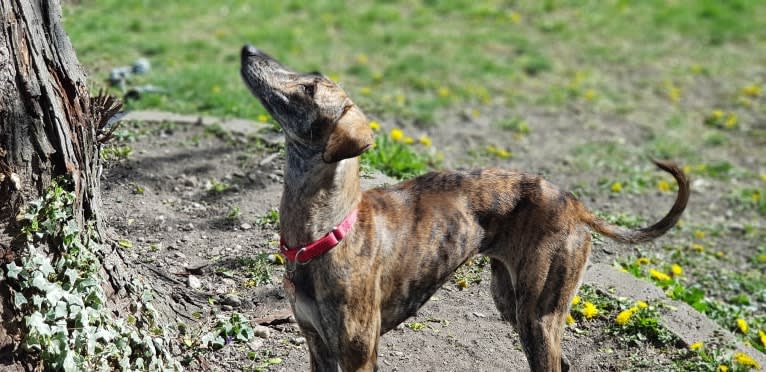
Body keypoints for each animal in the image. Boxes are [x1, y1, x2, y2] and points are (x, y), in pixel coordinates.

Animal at [240, 45, 688, 372]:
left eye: (310, 89)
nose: (249, 49)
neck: (324, 232)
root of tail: (573, 202)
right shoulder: (316, 344)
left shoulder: (359, 354)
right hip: (512, 300)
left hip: (539, 315)